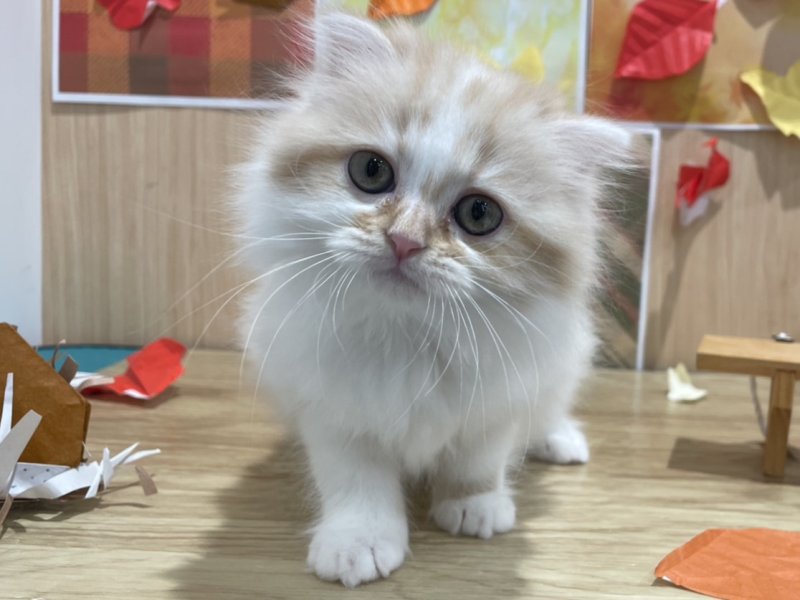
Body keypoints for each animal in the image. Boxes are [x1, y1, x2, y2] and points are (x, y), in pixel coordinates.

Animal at [234, 11, 631, 588]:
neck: (408, 336)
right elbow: (356, 483)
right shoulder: (333, 406)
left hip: (565, 360)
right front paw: (358, 543)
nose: (404, 240)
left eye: (479, 214)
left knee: (550, 407)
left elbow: (478, 460)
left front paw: (474, 507)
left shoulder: (498, 399)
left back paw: (559, 440)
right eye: (371, 172)